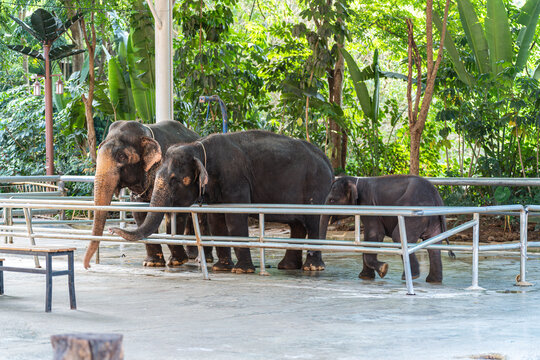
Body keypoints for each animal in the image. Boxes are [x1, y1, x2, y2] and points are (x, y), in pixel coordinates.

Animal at [83, 119, 210, 268]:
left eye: (122, 156)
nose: (88, 266)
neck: (146, 131)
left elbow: (174, 213)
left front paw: (176, 261)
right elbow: (139, 212)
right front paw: (152, 263)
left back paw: (200, 259)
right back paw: (192, 255)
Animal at [110, 129, 334, 272]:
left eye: (175, 180)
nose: (111, 230)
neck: (198, 148)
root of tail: (327, 160)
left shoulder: (235, 180)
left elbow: (235, 219)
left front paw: (241, 271)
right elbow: (216, 220)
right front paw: (221, 268)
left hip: (317, 185)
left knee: (313, 221)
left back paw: (312, 267)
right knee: (297, 224)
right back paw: (287, 266)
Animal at [320, 176, 448, 282]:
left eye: (332, 200)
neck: (356, 181)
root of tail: (436, 195)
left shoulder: (368, 205)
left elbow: (375, 234)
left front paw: (383, 269)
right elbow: (368, 239)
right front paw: (365, 277)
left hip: (414, 213)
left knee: (398, 236)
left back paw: (412, 276)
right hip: (434, 220)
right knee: (434, 246)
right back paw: (433, 280)